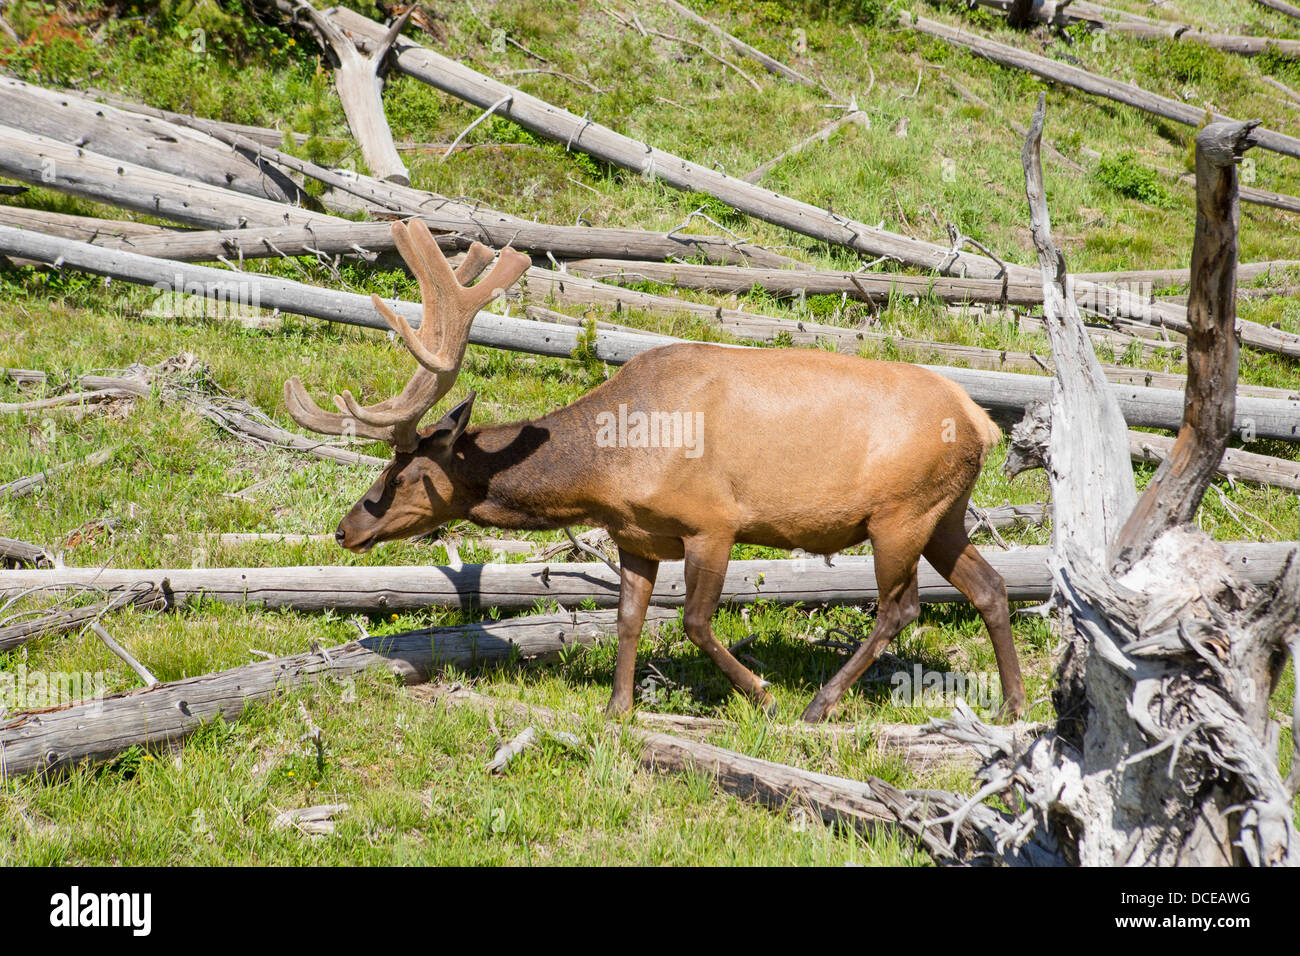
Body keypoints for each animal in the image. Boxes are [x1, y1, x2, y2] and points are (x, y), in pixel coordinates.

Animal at [284, 221, 1024, 723]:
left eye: (403, 474)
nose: (346, 529)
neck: (605, 471)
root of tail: (981, 421)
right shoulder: (635, 536)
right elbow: (629, 618)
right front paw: (617, 709)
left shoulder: (713, 523)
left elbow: (694, 621)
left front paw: (759, 693)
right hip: (944, 514)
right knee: (989, 588)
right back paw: (1014, 703)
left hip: (900, 514)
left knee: (900, 607)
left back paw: (820, 702)